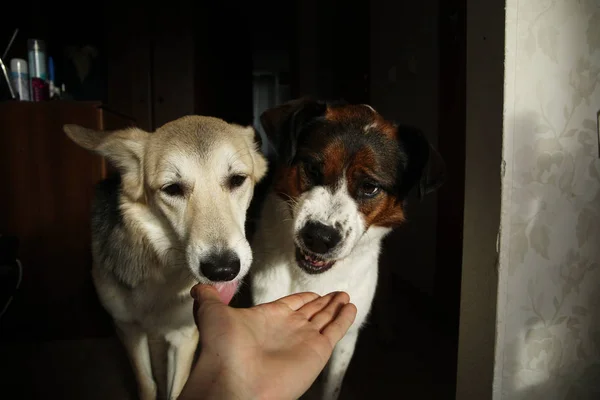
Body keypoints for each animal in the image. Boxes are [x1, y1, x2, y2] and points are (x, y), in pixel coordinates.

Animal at [250, 98, 446, 398]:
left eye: (370, 187)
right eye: (312, 169)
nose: (319, 237)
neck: (312, 278)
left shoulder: (346, 338)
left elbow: (332, 384)